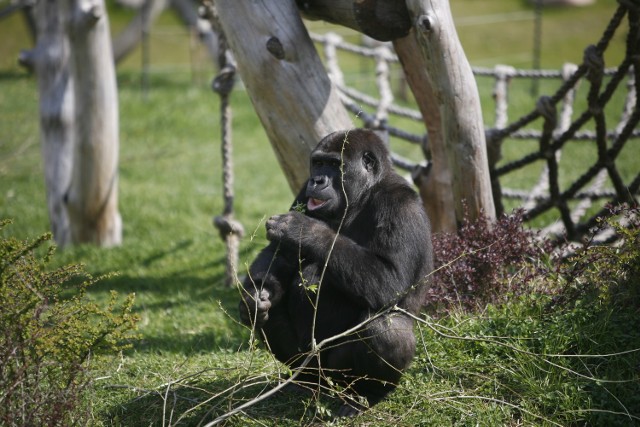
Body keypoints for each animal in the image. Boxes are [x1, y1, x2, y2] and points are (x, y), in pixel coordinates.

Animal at [240, 129, 436, 416]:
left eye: (334, 164)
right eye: (318, 163)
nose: (317, 179)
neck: (364, 194)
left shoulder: (401, 207)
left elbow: (390, 280)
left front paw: (305, 231)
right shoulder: (303, 192)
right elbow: (278, 254)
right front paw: (254, 297)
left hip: (338, 375)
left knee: (385, 328)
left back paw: (366, 395)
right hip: (312, 365)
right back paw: (304, 382)